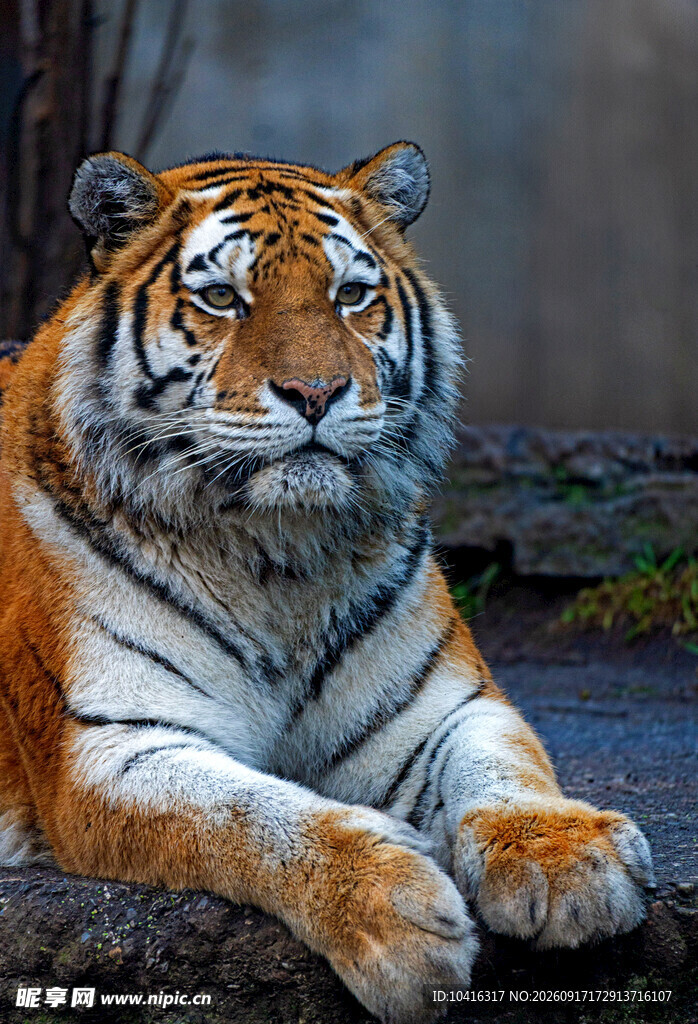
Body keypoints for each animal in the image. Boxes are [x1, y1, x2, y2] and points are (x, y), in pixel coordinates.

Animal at [0, 142, 654, 1023]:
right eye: (222, 298)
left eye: (351, 296)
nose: (316, 393)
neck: (277, 557)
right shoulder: (109, 746)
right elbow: (246, 814)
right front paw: (395, 911)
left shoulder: (436, 706)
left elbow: (504, 763)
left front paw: (570, 863)